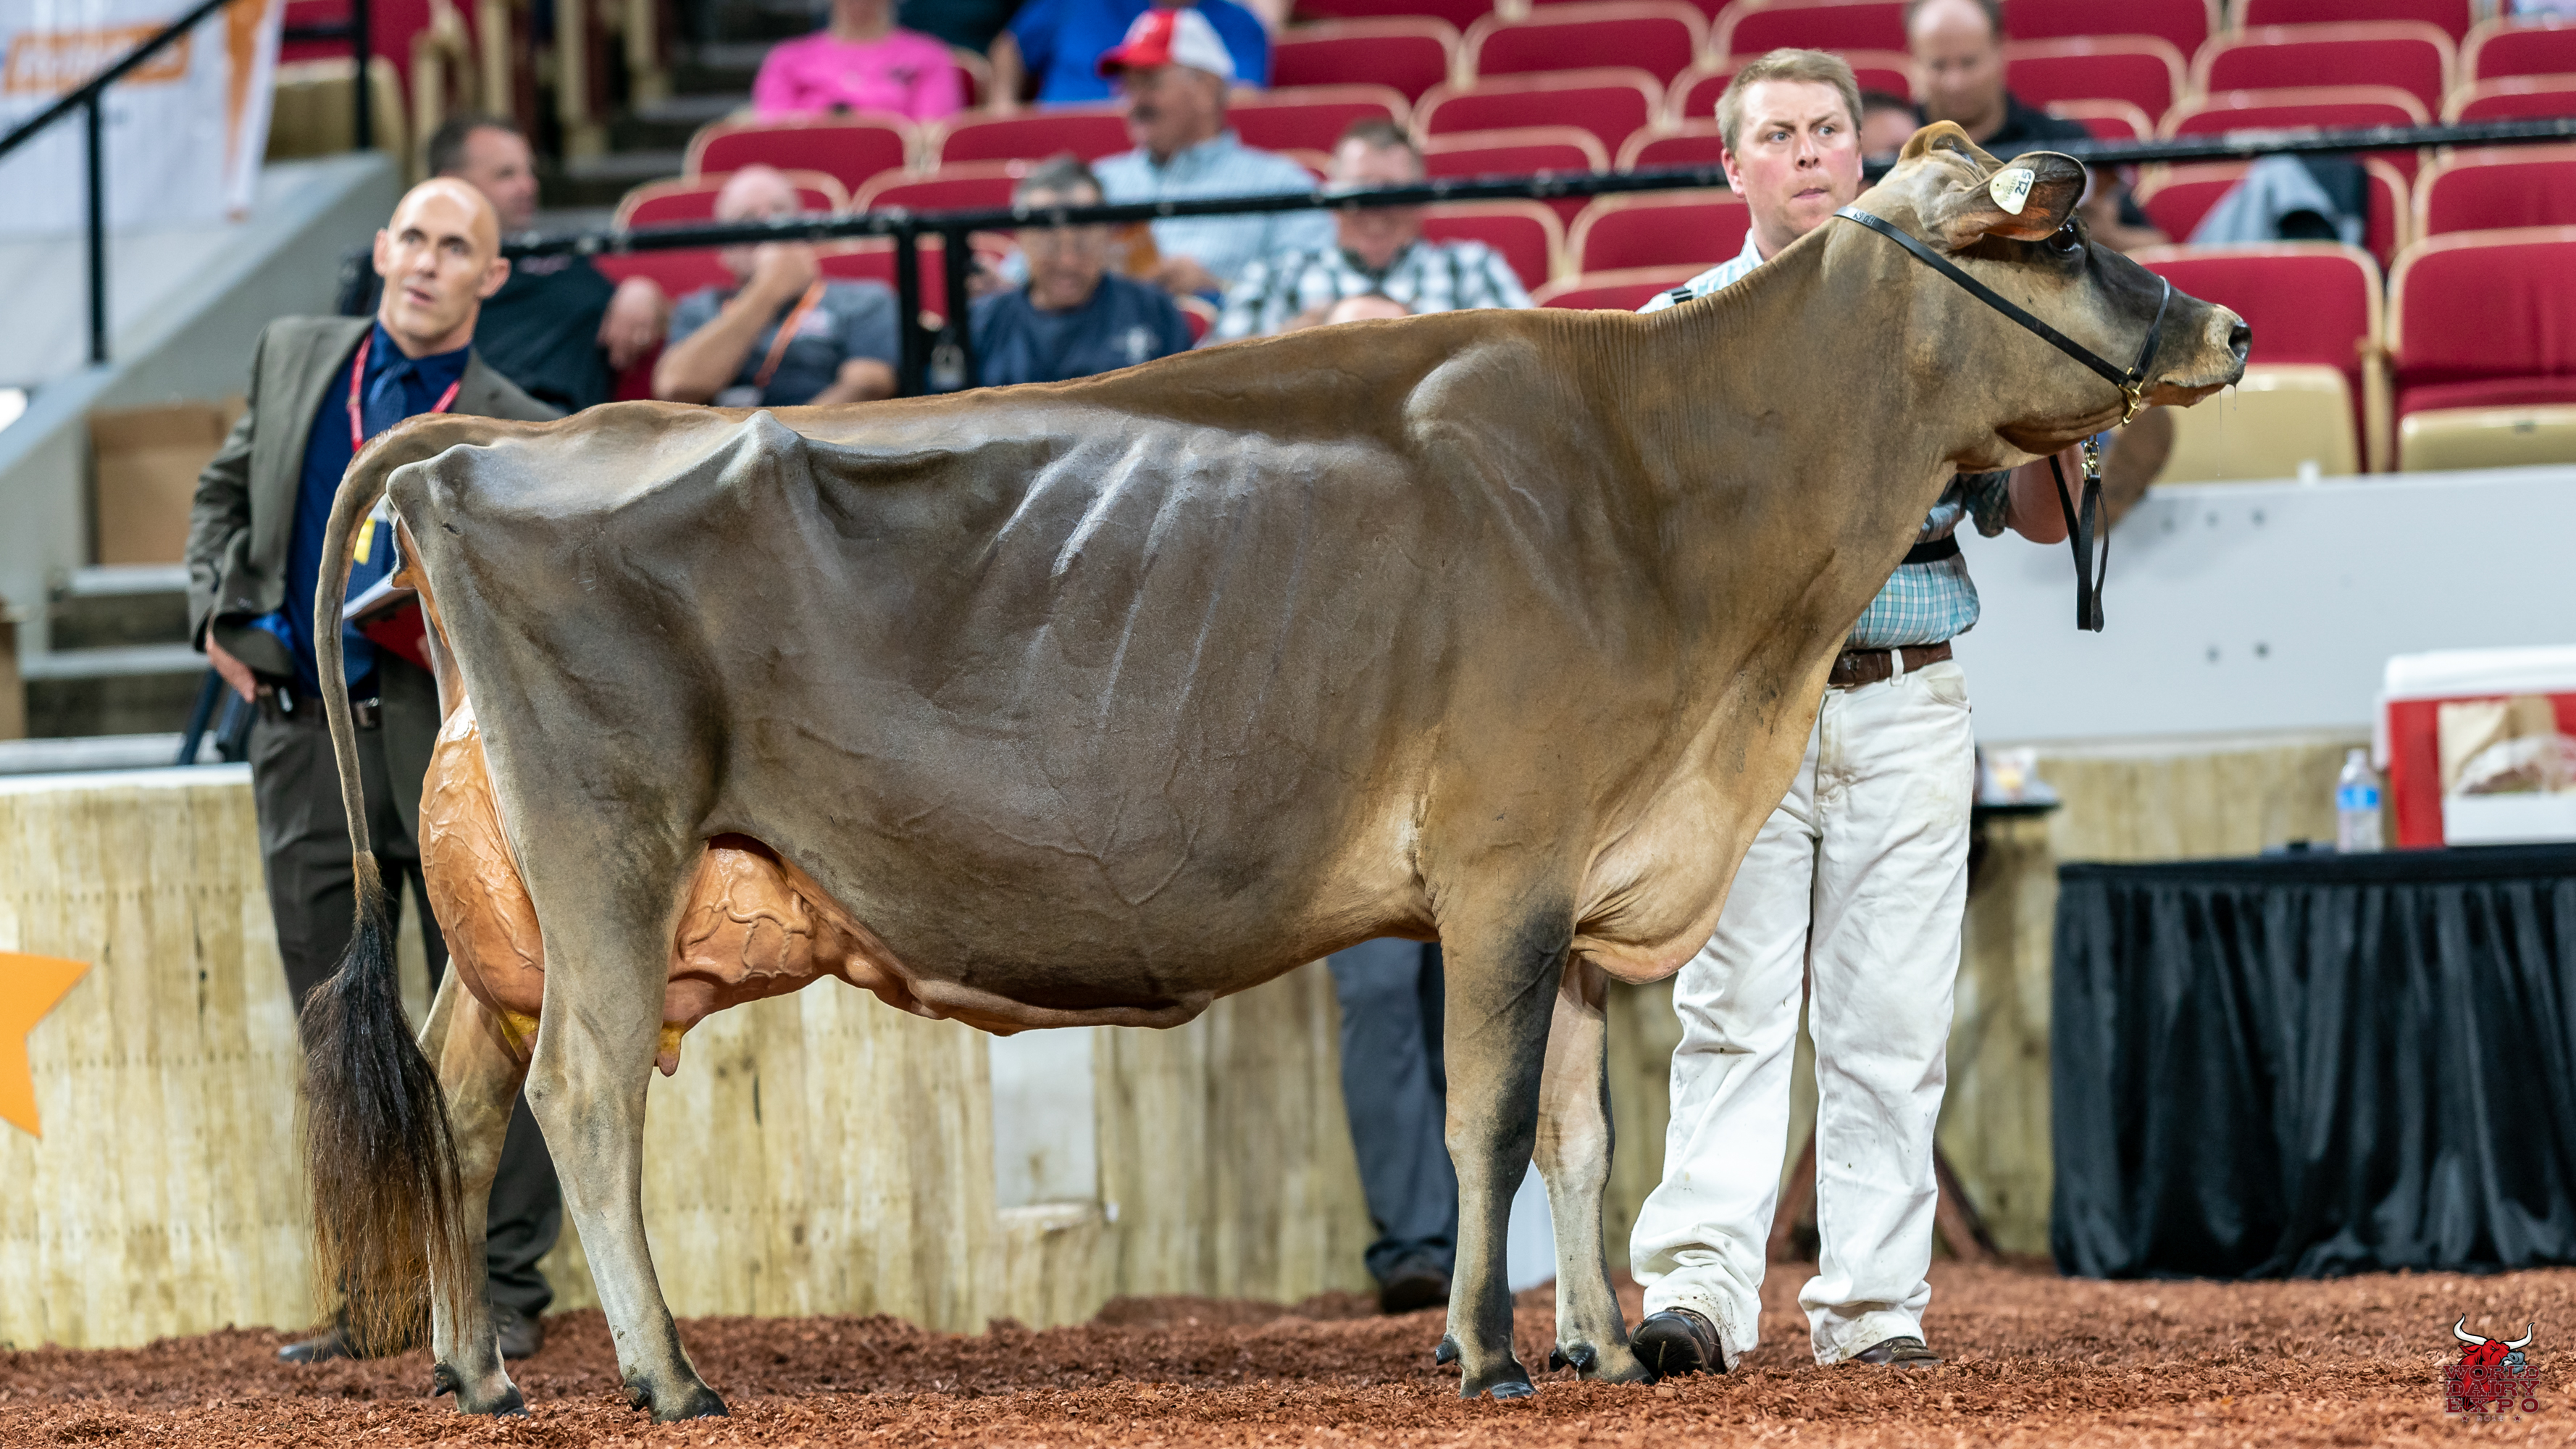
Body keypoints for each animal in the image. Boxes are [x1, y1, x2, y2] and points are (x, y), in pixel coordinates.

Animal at [296, 124, 2246, 1422]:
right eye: (2060, 241)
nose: (2225, 330)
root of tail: (486, 444)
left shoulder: (1590, 871)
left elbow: (1581, 1127)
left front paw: (1601, 1343)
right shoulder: (1504, 864)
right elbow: (1487, 1118)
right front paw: (1484, 1350)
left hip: (511, 897)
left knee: (462, 1088)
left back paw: (481, 1369)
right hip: (608, 852)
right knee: (582, 1096)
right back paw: (666, 1371)